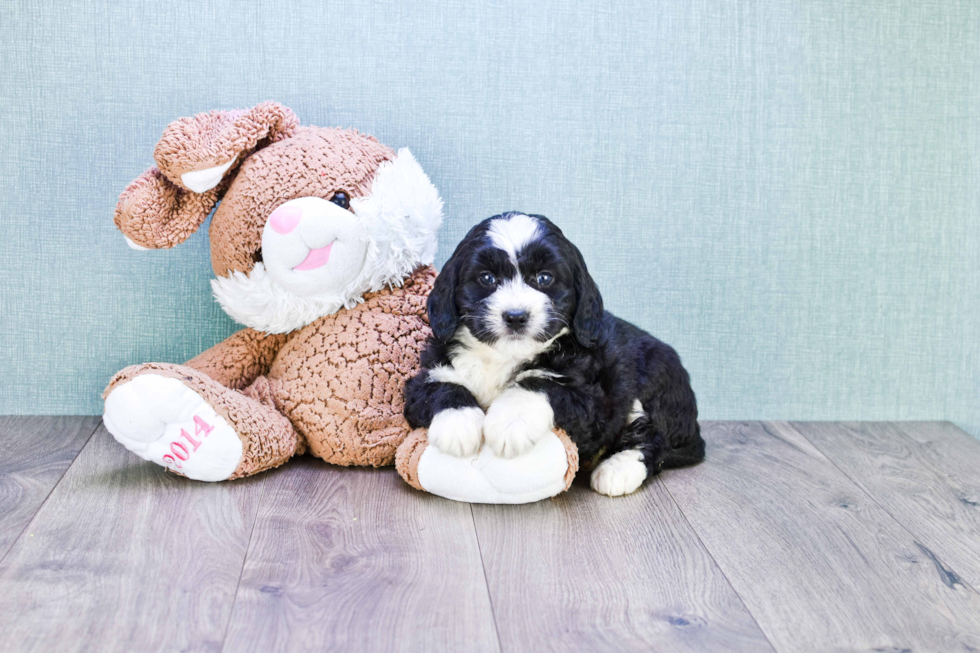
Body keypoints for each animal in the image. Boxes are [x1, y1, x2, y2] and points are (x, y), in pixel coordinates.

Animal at [404, 213, 704, 494]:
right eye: (487, 278)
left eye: (544, 278)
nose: (516, 316)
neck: (504, 357)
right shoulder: (427, 373)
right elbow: (441, 386)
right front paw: (458, 425)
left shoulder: (590, 398)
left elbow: (539, 383)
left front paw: (510, 422)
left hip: (655, 386)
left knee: (654, 440)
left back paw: (617, 470)